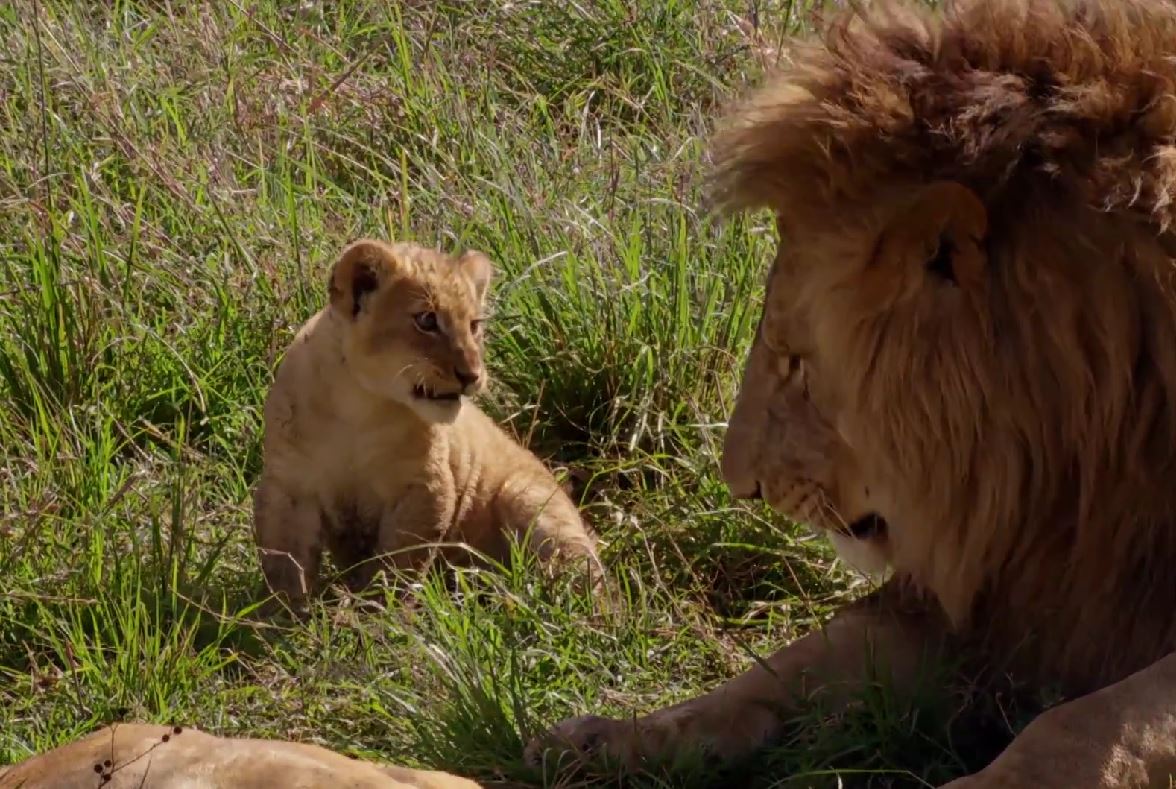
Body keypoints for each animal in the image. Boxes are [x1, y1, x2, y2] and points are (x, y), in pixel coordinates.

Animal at [531, 0, 1176, 785]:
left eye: (796, 362)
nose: (740, 486)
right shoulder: (1021, 576)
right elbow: (807, 655)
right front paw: (609, 737)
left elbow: (1092, 725)